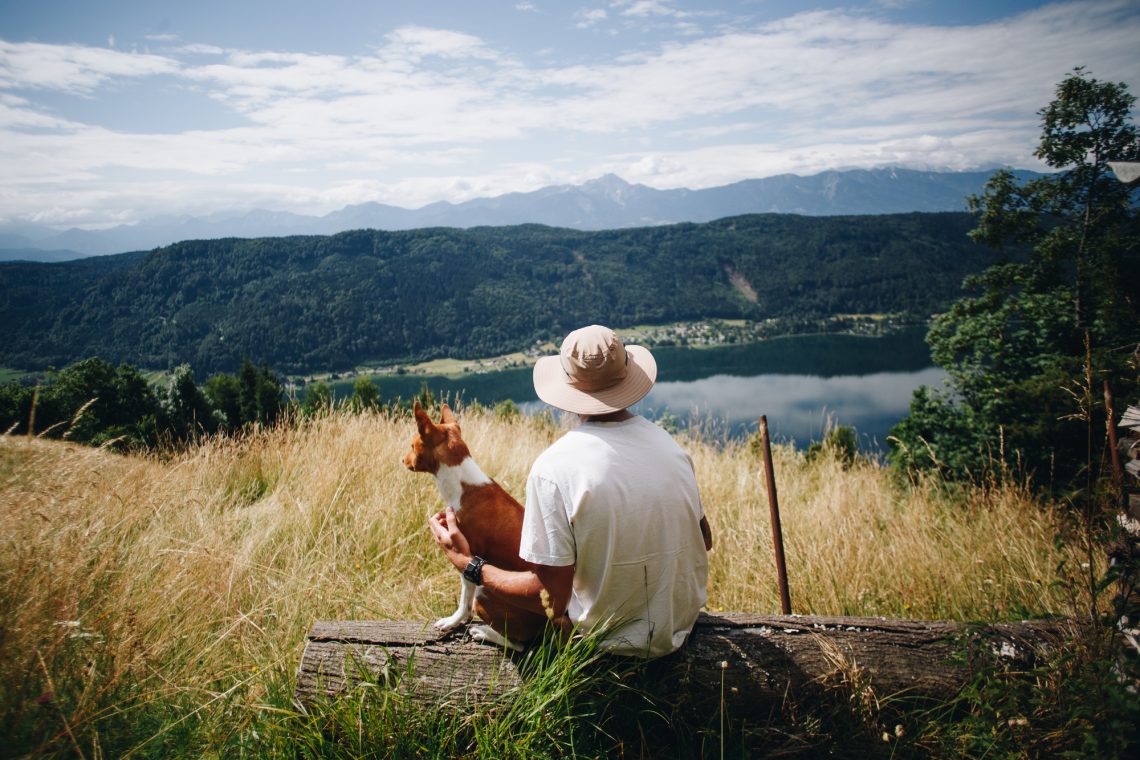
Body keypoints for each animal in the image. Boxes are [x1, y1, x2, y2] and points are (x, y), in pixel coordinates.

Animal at [403, 401, 549, 651]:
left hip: (485, 592)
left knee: (518, 644)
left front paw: (453, 621)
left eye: (412, 445)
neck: (463, 484)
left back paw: (483, 632)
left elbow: (465, 601)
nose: (402, 459)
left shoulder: (467, 556)